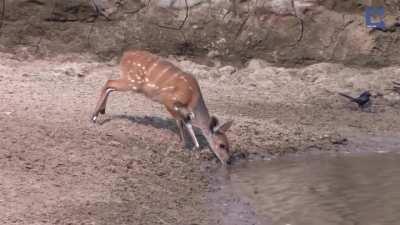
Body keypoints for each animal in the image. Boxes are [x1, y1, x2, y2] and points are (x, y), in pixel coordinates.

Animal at [92, 50, 233, 164]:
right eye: (222, 145)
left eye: (228, 144)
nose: (227, 161)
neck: (192, 98)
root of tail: (125, 55)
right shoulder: (169, 101)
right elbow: (181, 122)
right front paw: (184, 145)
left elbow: (187, 122)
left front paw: (195, 147)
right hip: (133, 83)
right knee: (109, 82)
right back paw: (94, 117)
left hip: (131, 83)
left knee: (110, 85)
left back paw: (101, 111)